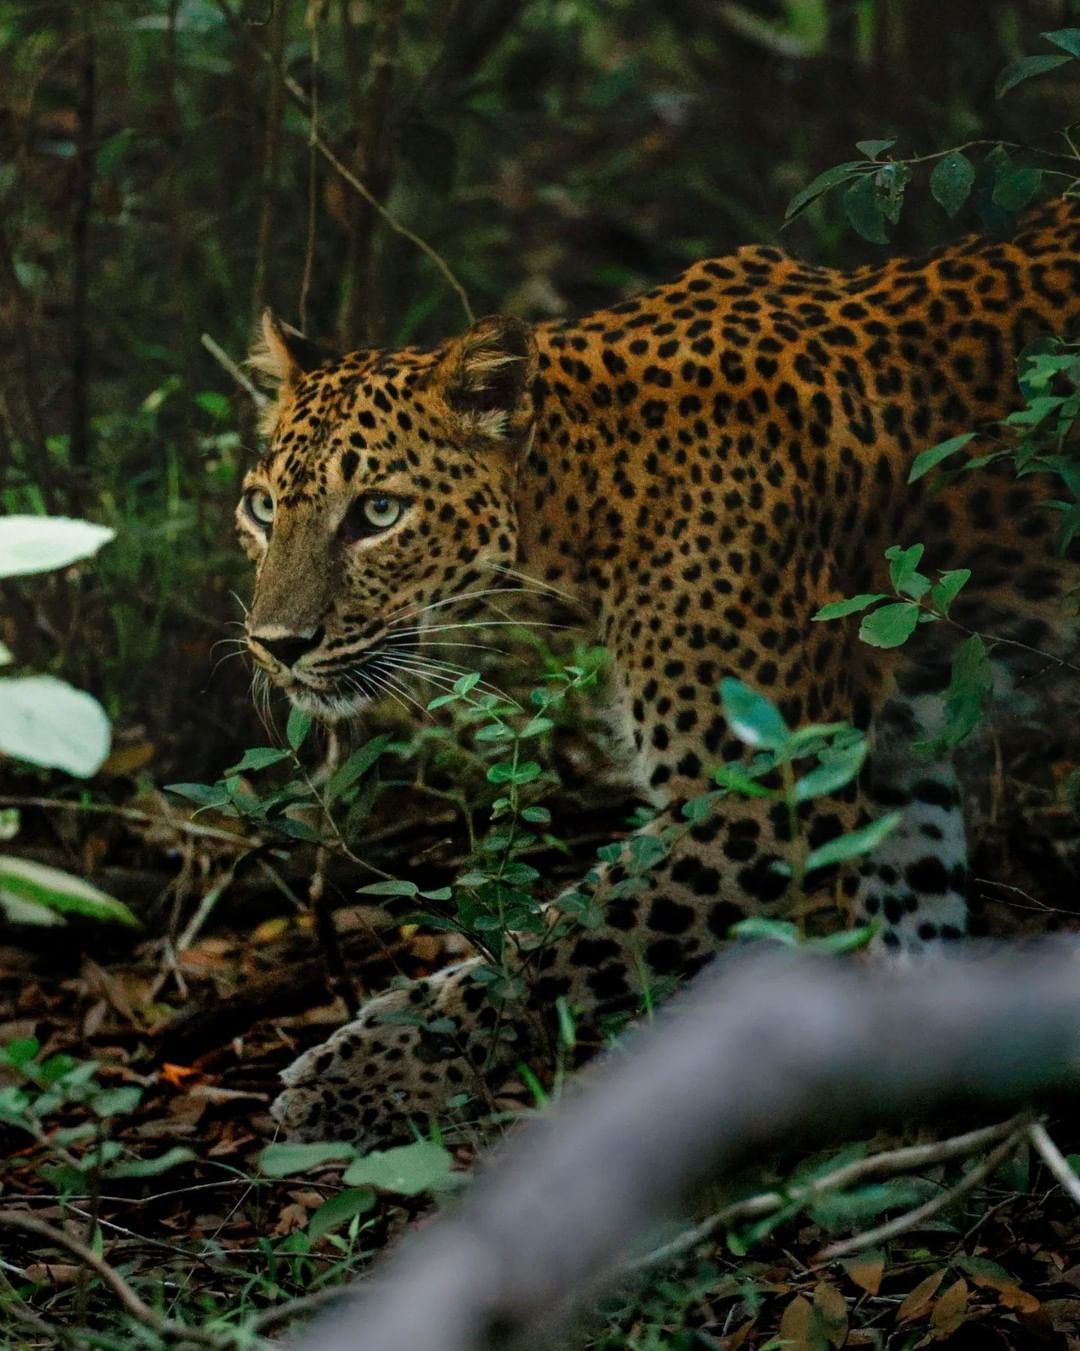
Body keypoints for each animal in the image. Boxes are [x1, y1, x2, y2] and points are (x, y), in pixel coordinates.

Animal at [240, 197, 1080, 1140]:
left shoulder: (757, 801)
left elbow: (555, 944)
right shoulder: (886, 755)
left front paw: (362, 1071)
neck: (584, 495)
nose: (276, 642)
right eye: (262, 507)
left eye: (378, 513)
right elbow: (909, 917)